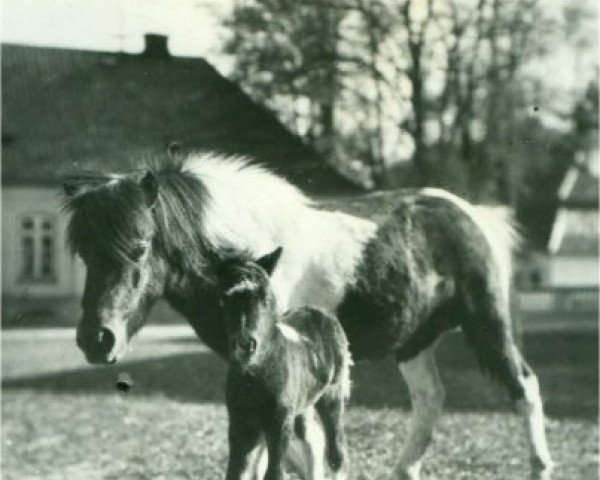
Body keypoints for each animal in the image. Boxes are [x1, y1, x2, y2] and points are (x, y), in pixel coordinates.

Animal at [219, 248, 352, 480]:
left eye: (266, 297)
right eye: (224, 299)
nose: (245, 345)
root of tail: (318, 310)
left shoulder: (280, 422)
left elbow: (274, 473)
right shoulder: (240, 422)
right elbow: (236, 471)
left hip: (332, 395)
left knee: (337, 453)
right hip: (302, 405)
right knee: (312, 444)